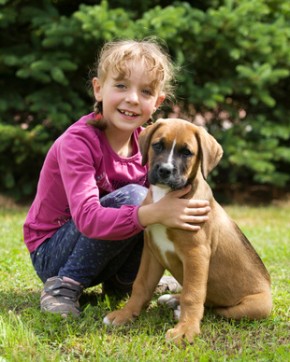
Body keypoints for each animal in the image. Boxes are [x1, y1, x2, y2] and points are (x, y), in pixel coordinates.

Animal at [103, 118, 272, 346]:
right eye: (158, 145)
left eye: (187, 152)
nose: (165, 170)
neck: (166, 196)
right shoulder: (152, 252)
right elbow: (141, 285)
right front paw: (125, 314)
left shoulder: (196, 254)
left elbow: (193, 294)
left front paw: (185, 330)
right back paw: (173, 300)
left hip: (255, 307)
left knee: (217, 309)